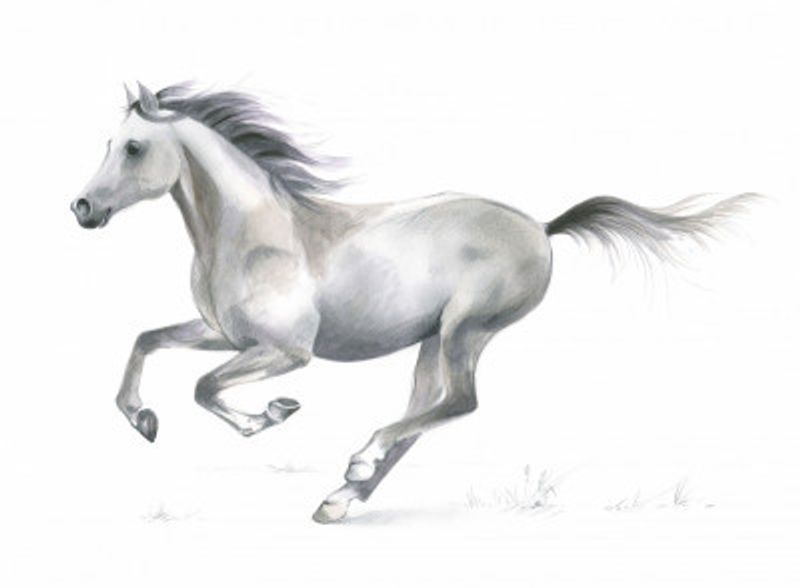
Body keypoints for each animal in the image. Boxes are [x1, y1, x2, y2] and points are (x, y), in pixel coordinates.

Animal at [70, 82, 755, 523]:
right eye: (107, 142)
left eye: (132, 147)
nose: (82, 208)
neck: (255, 232)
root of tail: (541, 227)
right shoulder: (225, 334)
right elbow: (145, 341)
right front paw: (143, 419)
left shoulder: (286, 351)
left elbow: (204, 387)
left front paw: (271, 415)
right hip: (431, 340)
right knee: (425, 414)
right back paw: (340, 499)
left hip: (465, 331)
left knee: (459, 403)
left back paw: (357, 464)